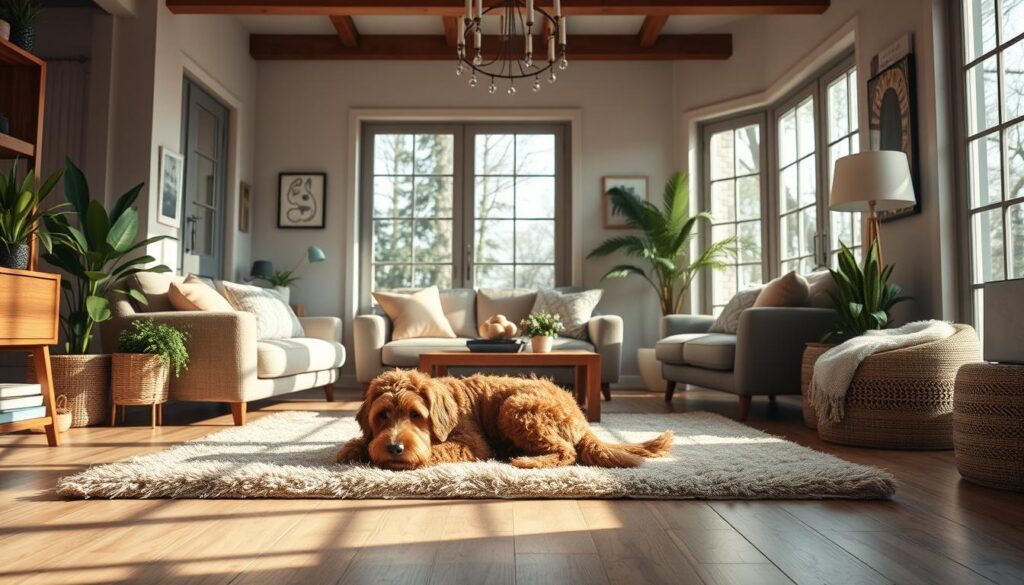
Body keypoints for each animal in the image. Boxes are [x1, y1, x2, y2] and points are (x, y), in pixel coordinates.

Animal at [335, 370, 671, 471]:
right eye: (382, 415)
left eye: (416, 415)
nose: (394, 448)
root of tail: (581, 416)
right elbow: (362, 440)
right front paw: (353, 448)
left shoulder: (474, 443)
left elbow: (439, 450)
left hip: (515, 408)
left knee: (567, 452)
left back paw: (528, 461)